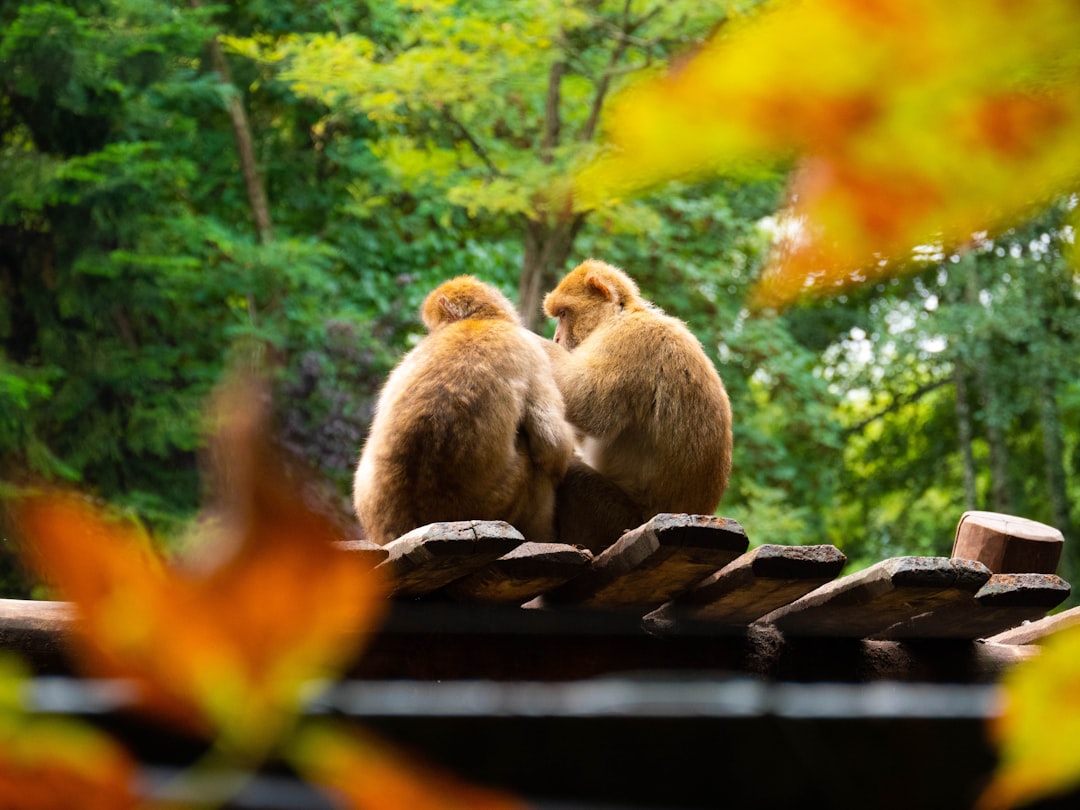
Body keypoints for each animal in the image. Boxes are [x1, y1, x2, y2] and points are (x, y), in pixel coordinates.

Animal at [353, 275, 574, 546]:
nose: (431, 333)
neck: (477, 322)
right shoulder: (530, 350)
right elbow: (552, 446)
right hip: (500, 501)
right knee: (537, 466)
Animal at [541, 259, 733, 552]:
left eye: (563, 313)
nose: (556, 340)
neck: (620, 316)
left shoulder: (628, 341)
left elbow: (587, 404)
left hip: (617, 519)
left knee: (575, 478)